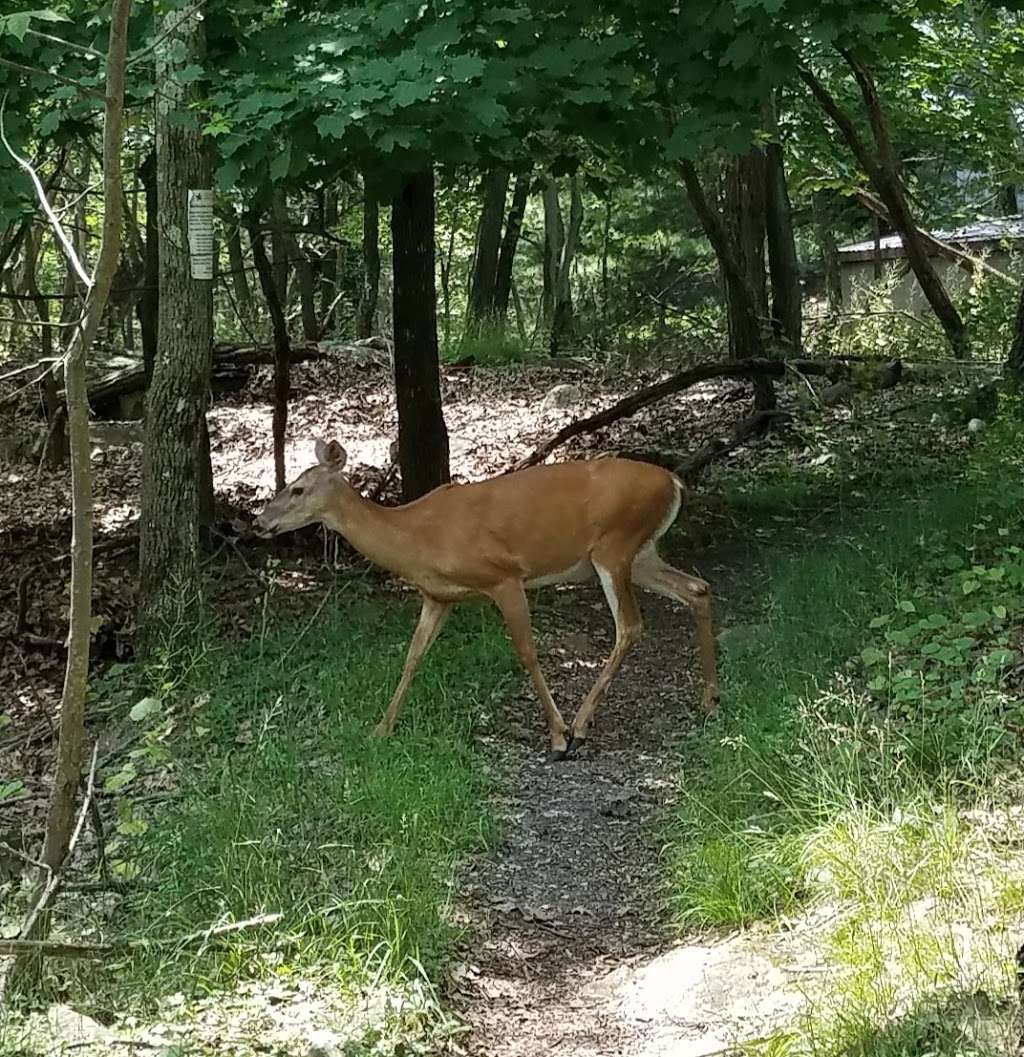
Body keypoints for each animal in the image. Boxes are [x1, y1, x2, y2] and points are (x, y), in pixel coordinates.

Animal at [253, 437, 718, 761]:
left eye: (297, 489)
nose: (260, 522)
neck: (416, 537)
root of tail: (675, 481)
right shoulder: (438, 596)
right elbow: (412, 657)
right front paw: (381, 730)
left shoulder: (504, 577)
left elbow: (527, 652)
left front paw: (557, 736)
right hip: (640, 553)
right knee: (697, 589)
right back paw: (710, 701)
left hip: (615, 545)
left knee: (631, 626)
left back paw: (582, 726)